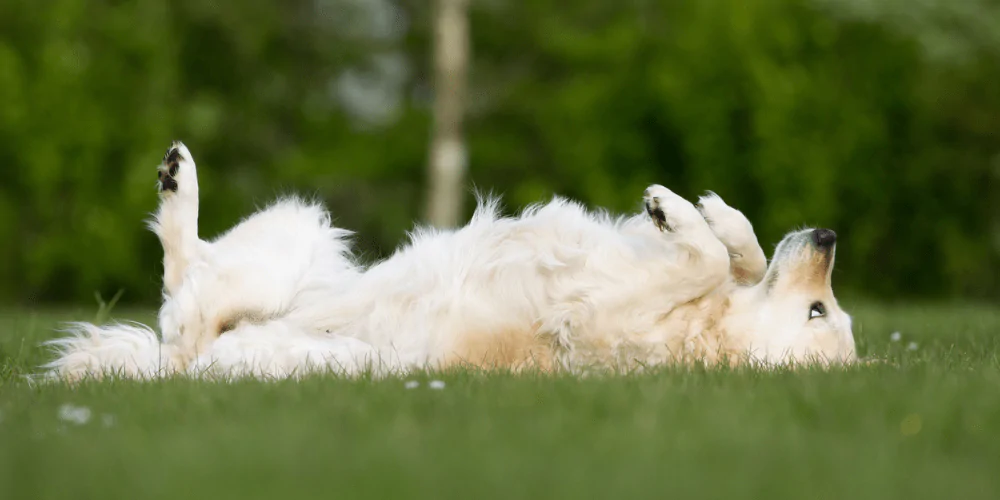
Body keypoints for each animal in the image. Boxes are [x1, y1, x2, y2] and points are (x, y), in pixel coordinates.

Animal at [43, 142, 856, 378]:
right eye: (826, 309)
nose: (829, 236)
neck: (702, 332)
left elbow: (706, 263)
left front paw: (677, 211)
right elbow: (739, 253)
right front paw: (714, 211)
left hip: (322, 344)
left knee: (185, 303)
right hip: (303, 238)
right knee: (188, 275)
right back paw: (176, 175)